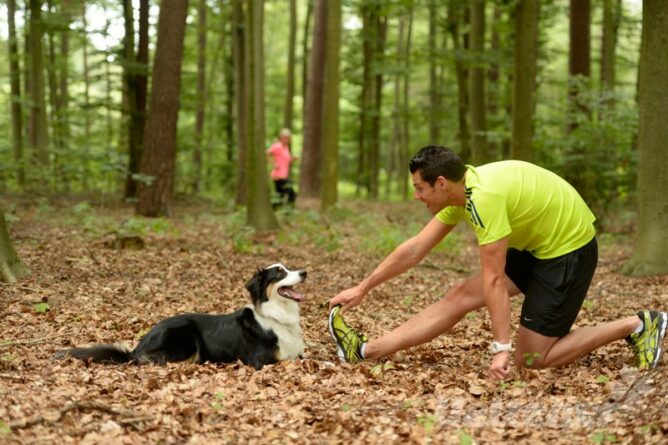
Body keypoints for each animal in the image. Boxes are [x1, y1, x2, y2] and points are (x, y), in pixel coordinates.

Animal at [57, 262, 308, 370]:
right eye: (279, 272)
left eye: (289, 267)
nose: (305, 272)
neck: (277, 316)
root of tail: (138, 347)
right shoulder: (261, 360)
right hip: (186, 336)